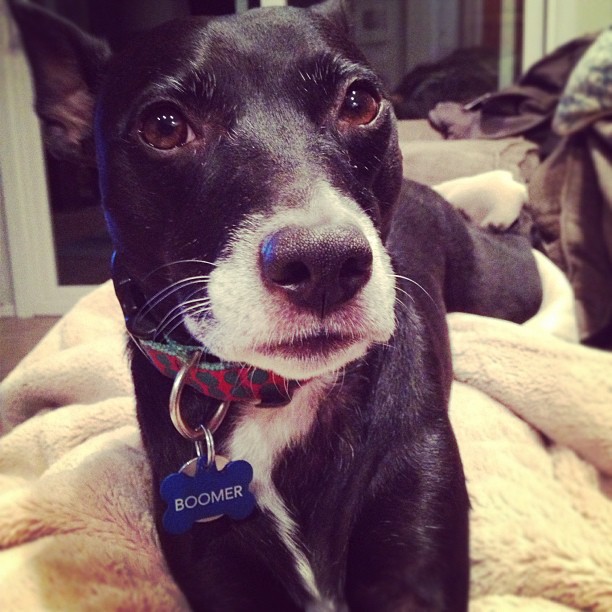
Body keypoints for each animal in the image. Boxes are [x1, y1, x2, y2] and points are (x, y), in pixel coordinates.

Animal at [11, 2, 544, 608]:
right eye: (164, 126)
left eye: (360, 102)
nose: (325, 263)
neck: (280, 395)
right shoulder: (216, 567)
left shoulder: (416, 537)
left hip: (498, 286)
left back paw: (501, 195)